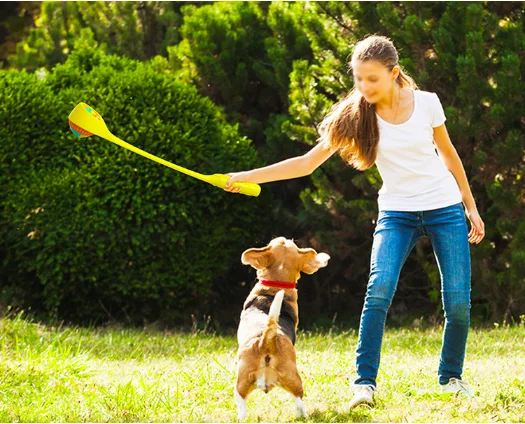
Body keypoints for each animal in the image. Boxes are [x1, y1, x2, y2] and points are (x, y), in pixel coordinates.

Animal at [232, 237, 328, 420]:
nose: (287, 238)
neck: (276, 284)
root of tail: (267, 341)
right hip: (293, 379)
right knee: (299, 401)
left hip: (242, 381)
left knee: (242, 407)